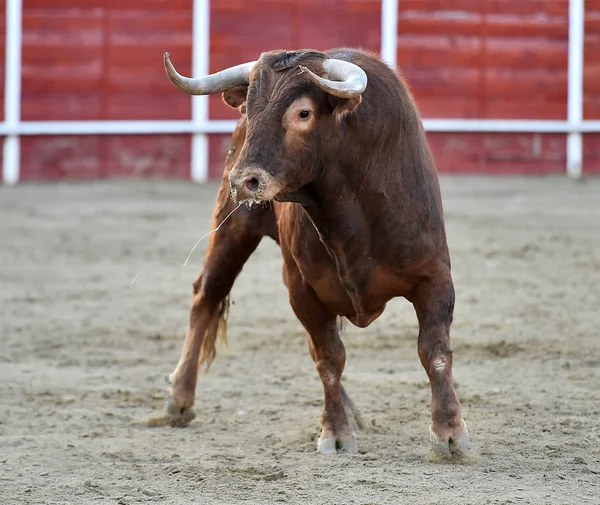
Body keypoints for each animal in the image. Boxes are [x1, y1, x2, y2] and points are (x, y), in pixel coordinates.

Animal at [152, 48, 472, 456]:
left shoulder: (434, 277)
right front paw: (335, 432)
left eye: (303, 113)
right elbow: (329, 358)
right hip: (232, 226)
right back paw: (178, 399)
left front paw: (449, 432)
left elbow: (434, 350)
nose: (244, 181)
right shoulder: (303, 290)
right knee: (207, 294)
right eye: (249, 109)